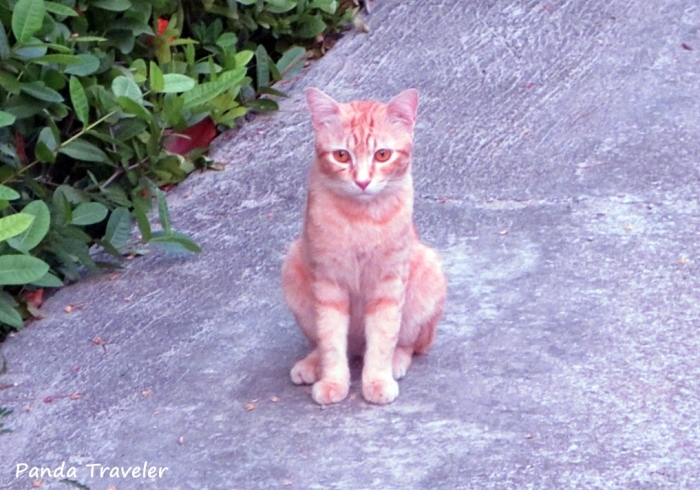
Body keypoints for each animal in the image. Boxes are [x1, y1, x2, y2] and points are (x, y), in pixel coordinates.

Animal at [282, 88, 446, 406]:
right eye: (341, 155)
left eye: (382, 154)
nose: (362, 181)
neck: (360, 219)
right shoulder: (328, 283)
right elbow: (331, 340)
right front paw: (333, 381)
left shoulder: (388, 284)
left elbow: (383, 337)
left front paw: (377, 380)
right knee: (330, 346)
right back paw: (312, 364)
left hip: (427, 273)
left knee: (409, 344)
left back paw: (396, 362)